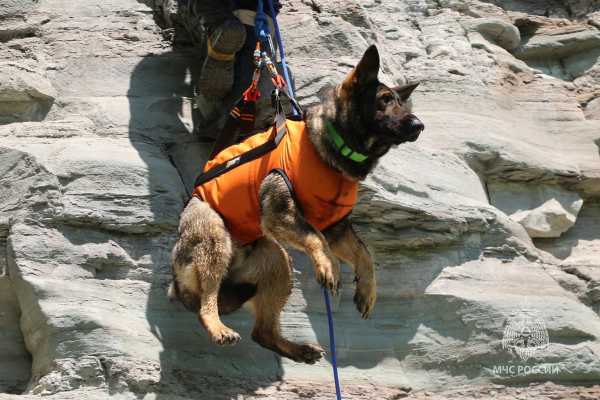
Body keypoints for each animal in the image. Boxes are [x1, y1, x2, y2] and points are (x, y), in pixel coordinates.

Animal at [169, 45, 422, 364]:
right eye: (384, 100)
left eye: (401, 102)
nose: (419, 125)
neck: (333, 146)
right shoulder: (283, 214)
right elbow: (317, 240)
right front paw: (331, 268)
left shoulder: (337, 229)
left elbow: (364, 254)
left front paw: (367, 289)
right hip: (214, 238)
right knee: (206, 303)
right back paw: (218, 328)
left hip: (277, 260)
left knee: (262, 333)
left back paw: (297, 349)